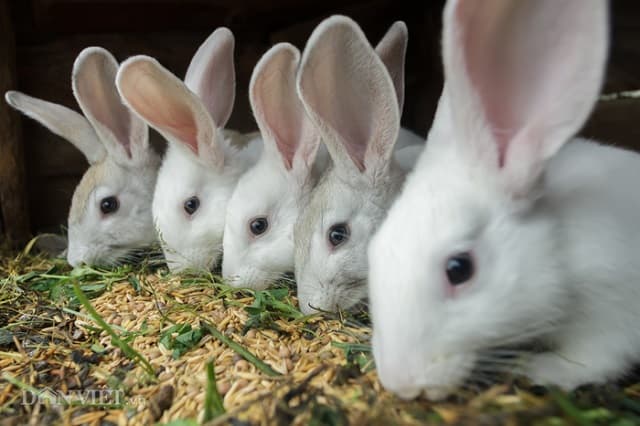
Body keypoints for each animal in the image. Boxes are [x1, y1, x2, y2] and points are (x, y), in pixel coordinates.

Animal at [367, 0, 640, 401]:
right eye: (375, 249)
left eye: (459, 269)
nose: (401, 383)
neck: (559, 249)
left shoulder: (613, 312)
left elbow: (597, 357)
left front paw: (543, 369)